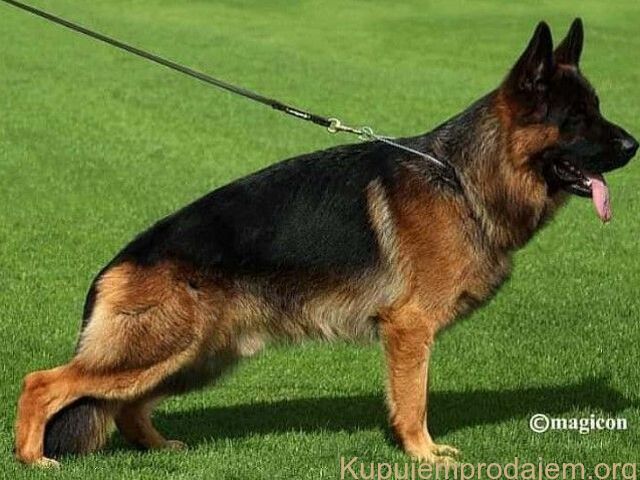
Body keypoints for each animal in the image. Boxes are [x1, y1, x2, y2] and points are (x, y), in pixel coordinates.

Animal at [15, 18, 638, 467]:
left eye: (597, 110)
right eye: (577, 119)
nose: (634, 145)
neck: (462, 178)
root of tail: (116, 263)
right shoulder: (409, 330)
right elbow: (413, 400)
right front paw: (423, 454)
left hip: (195, 356)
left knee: (123, 406)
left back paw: (157, 447)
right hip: (160, 350)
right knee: (42, 383)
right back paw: (33, 458)